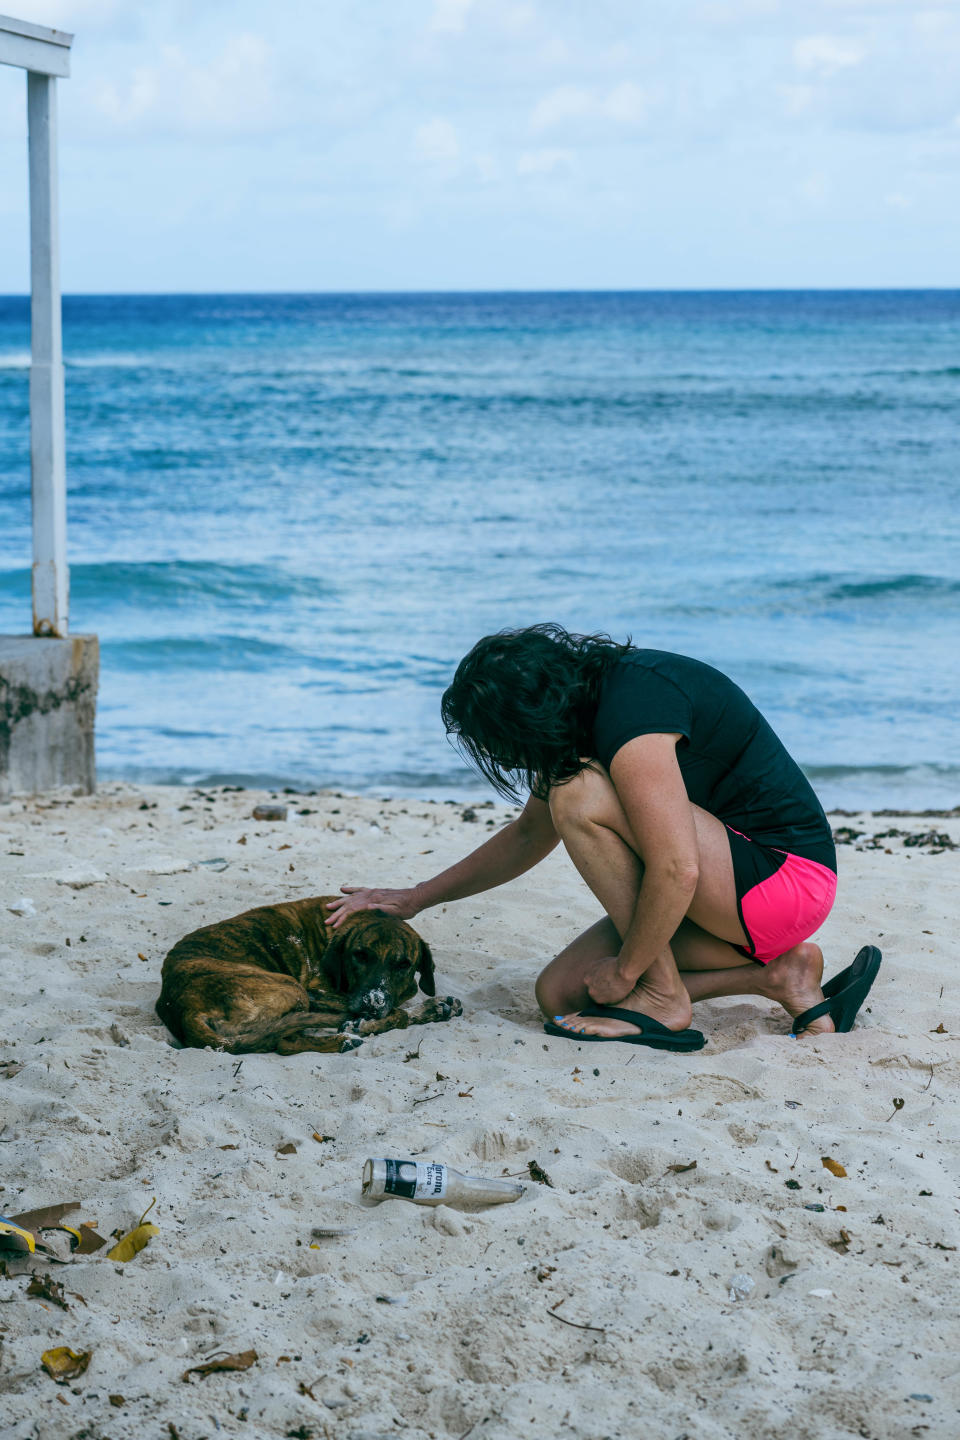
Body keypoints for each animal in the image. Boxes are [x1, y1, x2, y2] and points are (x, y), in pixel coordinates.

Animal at [154, 898, 460, 1059]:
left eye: (403, 964)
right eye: (360, 955)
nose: (372, 1003)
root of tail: (182, 1007)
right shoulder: (316, 991)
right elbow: (398, 1013)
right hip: (292, 988)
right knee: (284, 1042)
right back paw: (343, 1038)